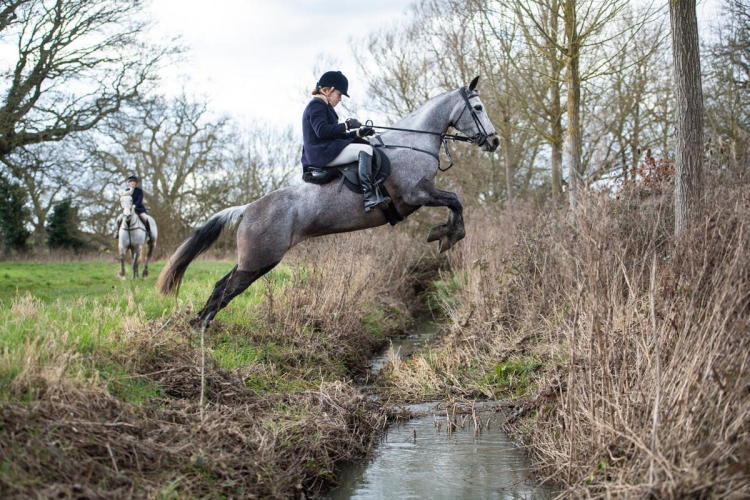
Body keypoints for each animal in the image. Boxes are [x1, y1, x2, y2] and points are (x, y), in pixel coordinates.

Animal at [157, 76, 499, 328]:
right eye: (478, 107)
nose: (494, 141)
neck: (412, 142)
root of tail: (247, 209)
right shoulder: (417, 194)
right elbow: (456, 201)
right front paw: (448, 236)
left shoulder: (422, 195)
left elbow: (455, 202)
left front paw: (443, 234)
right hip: (260, 259)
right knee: (226, 288)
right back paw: (200, 328)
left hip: (254, 261)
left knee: (222, 288)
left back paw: (198, 327)